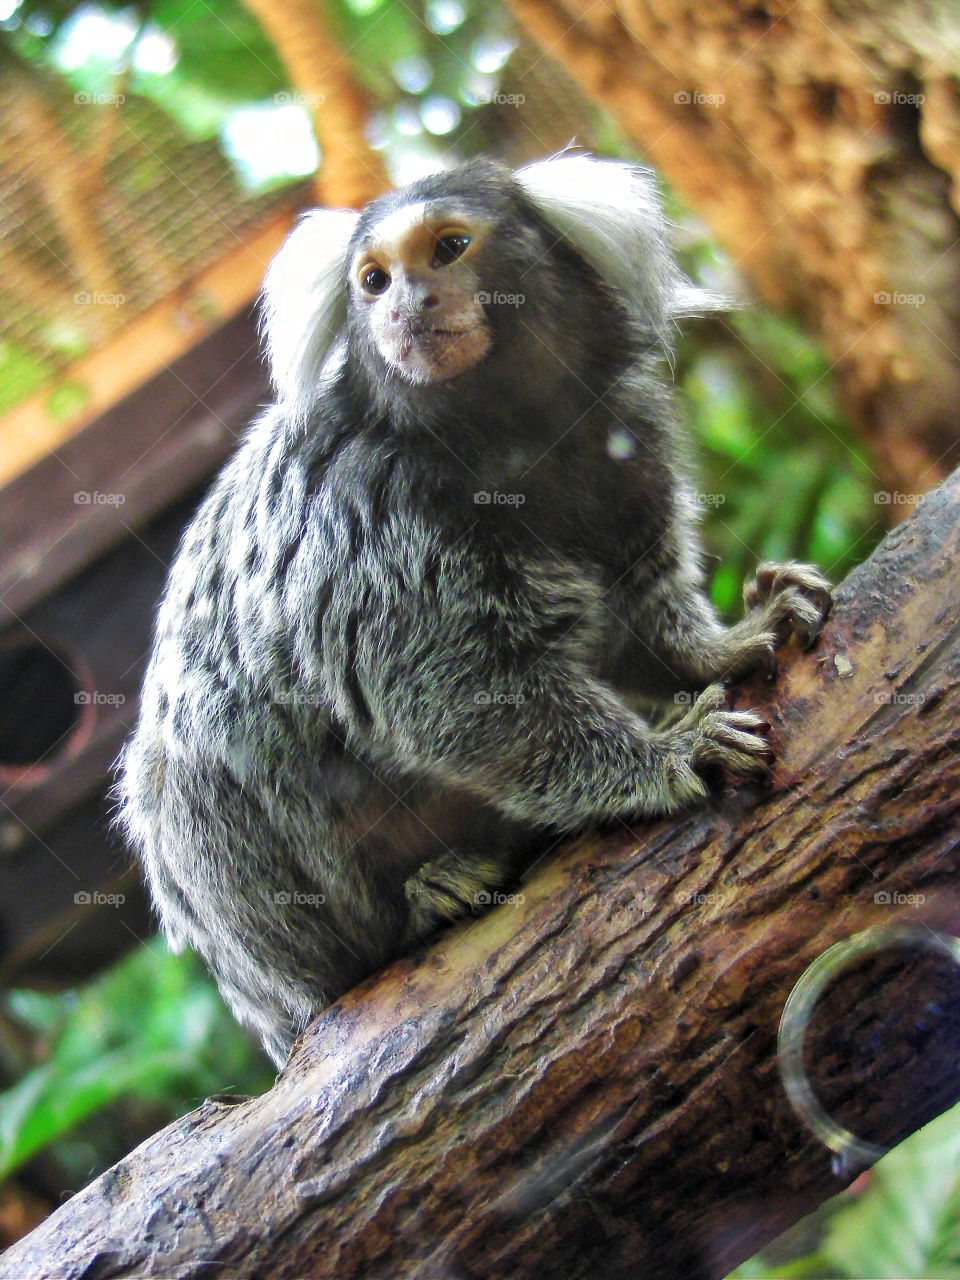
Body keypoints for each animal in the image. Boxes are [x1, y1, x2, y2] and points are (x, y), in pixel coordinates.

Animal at [116, 154, 831, 1067]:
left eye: (448, 249)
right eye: (373, 279)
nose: (407, 306)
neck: (503, 436)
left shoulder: (622, 437)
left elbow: (639, 613)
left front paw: (727, 645)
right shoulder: (364, 507)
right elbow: (455, 694)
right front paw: (665, 753)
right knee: (193, 761)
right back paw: (418, 903)